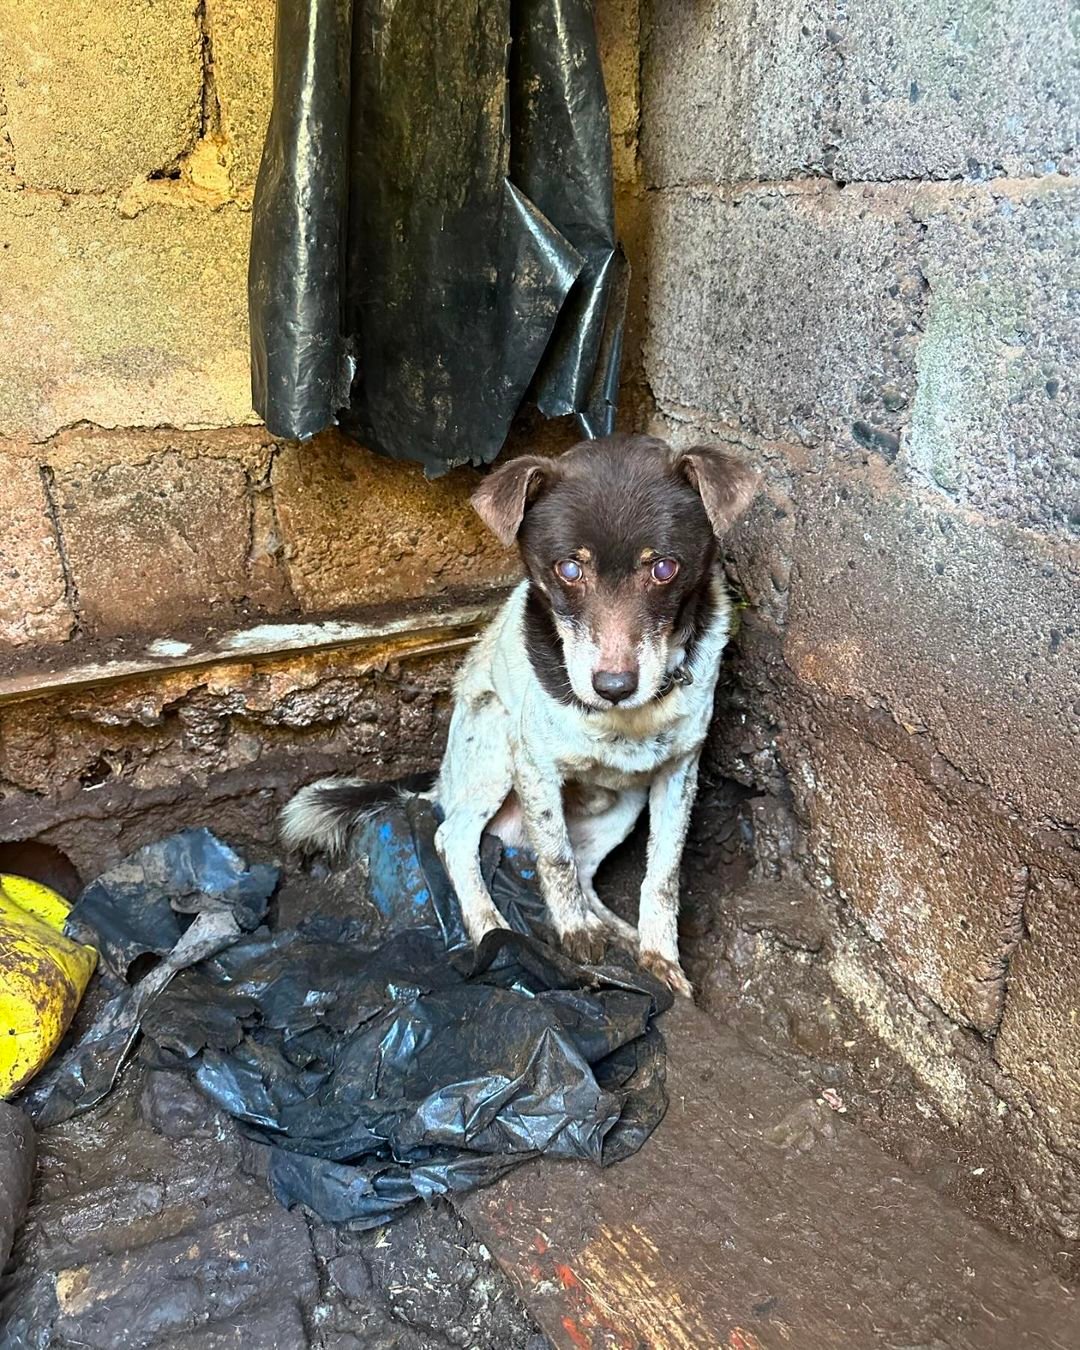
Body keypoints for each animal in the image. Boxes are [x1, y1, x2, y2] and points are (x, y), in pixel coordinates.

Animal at [286, 437, 761, 999]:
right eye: (569, 570)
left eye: (664, 568)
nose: (614, 687)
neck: (623, 719)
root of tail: (441, 784)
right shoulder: (534, 763)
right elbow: (554, 857)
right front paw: (573, 933)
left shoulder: (680, 771)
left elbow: (663, 873)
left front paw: (659, 956)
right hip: (492, 746)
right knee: (456, 838)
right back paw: (491, 929)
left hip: (621, 808)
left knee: (585, 872)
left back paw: (614, 929)